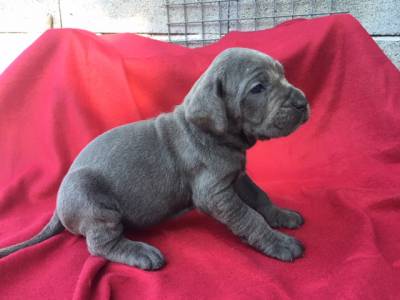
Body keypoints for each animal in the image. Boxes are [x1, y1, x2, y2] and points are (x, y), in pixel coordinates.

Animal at [0, 48, 310, 270]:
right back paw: (140, 252)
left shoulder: (237, 176)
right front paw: (279, 242)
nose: (303, 102)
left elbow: (259, 197)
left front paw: (280, 215)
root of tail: (58, 204)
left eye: (282, 74)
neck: (218, 136)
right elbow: (250, 218)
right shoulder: (216, 194)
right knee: (100, 244)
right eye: (258, 88)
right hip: (92, 201)